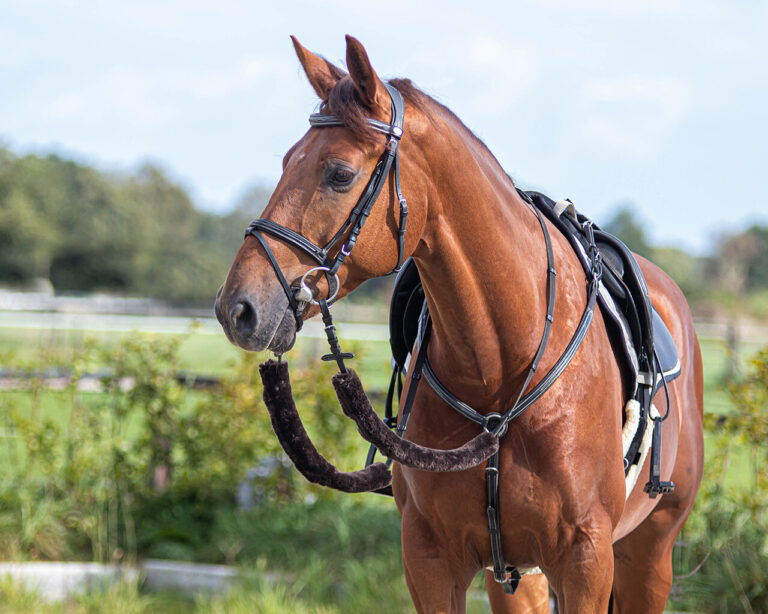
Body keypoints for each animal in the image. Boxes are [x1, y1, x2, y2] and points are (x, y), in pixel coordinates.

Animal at [214, 36, 704, 612]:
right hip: (516, 575)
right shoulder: (432, 560)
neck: (499, 372)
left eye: (339, 174)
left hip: (648, 557)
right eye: (288, 160)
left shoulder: (586, 563)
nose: (238, 308)